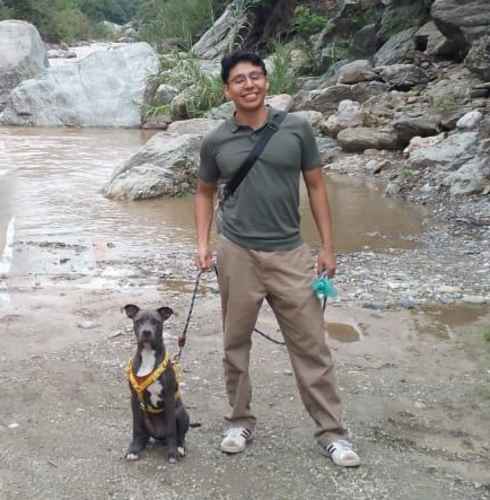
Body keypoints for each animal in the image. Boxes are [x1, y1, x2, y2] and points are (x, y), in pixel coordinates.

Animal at [123, 304, 190, 464]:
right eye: (138, 321)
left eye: (156, 322)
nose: (146, 332)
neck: (148, 355)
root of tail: (160, 437)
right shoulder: (134, 399)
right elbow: (136, 428)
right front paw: (133, 449)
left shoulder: (169, 398)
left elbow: (172, 430)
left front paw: (172, 453)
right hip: (143, 415)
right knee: (144, 434)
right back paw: (142, 443)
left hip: (181, 412)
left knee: (180, 435)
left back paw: (180, 447)